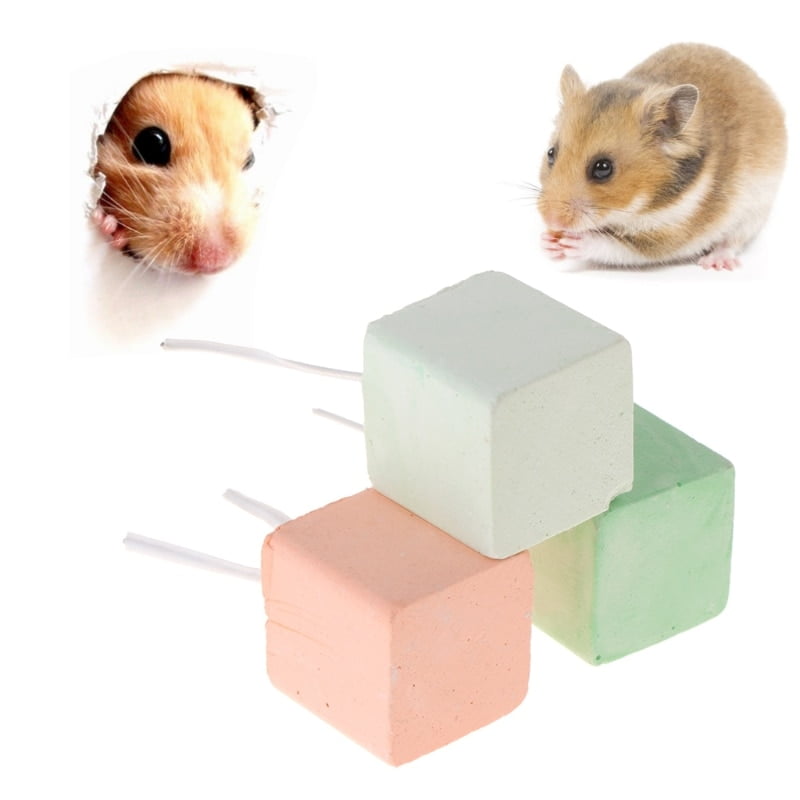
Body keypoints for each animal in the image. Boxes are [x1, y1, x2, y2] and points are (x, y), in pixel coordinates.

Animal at [537, 44, 787, 270]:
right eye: (551, 153)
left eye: (603, 168)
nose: (551, 220)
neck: (646, 204)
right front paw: (548, 242)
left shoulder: (667, 234)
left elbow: (613, 246)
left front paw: (575, 241)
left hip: (755, 212)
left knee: (732, 241)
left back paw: (715, 263)